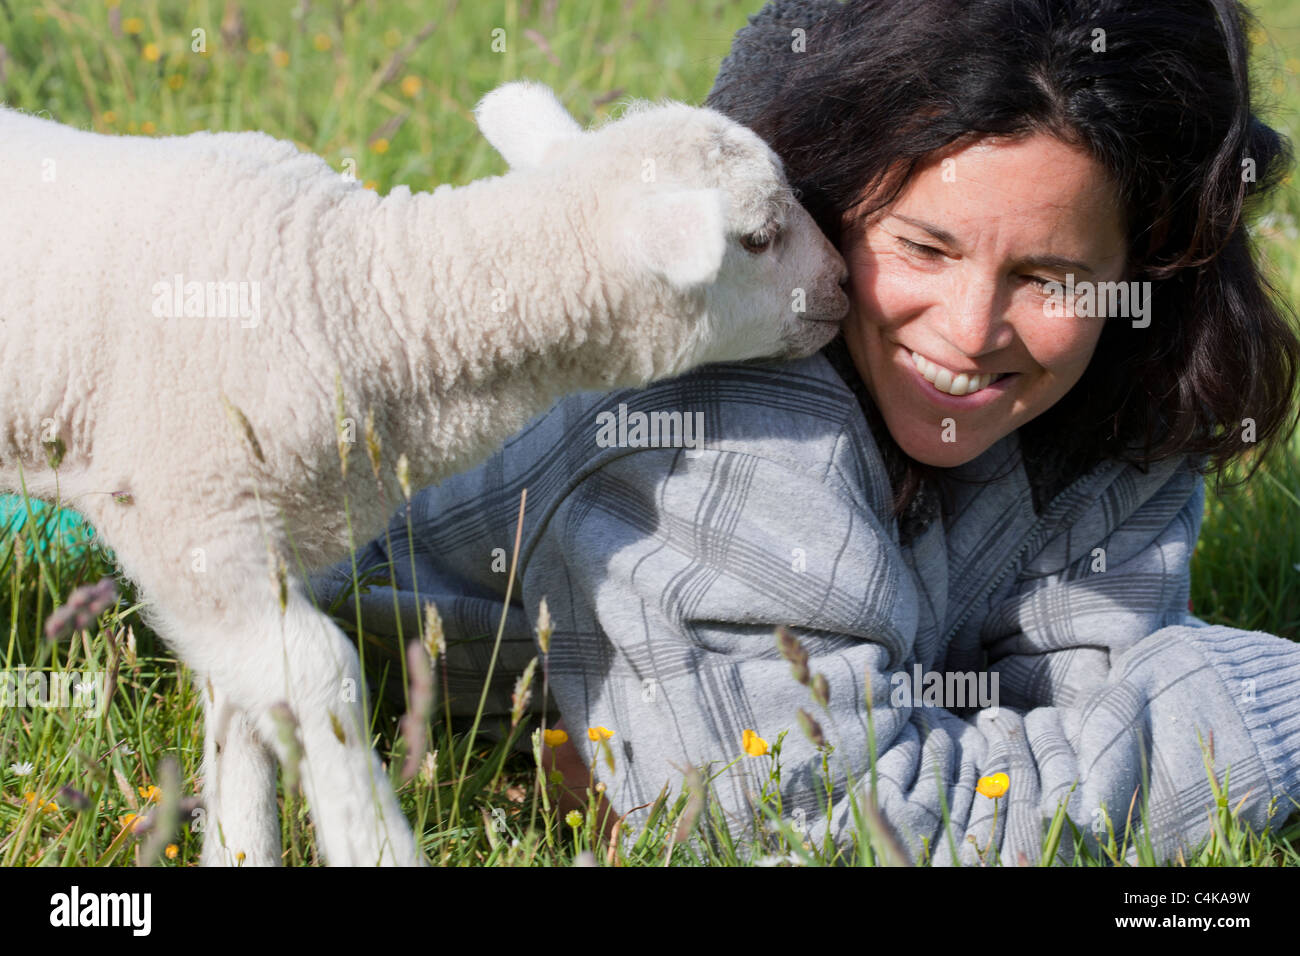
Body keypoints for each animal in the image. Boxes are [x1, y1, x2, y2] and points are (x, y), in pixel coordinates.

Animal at [0, 78, 847, 863]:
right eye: (760, 239)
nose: (841, 282)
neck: (361, 299)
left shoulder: (253, 535)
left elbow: (240, 710)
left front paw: (241, 846)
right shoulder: (186, 510)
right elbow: (320, 677)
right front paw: (370, 840)